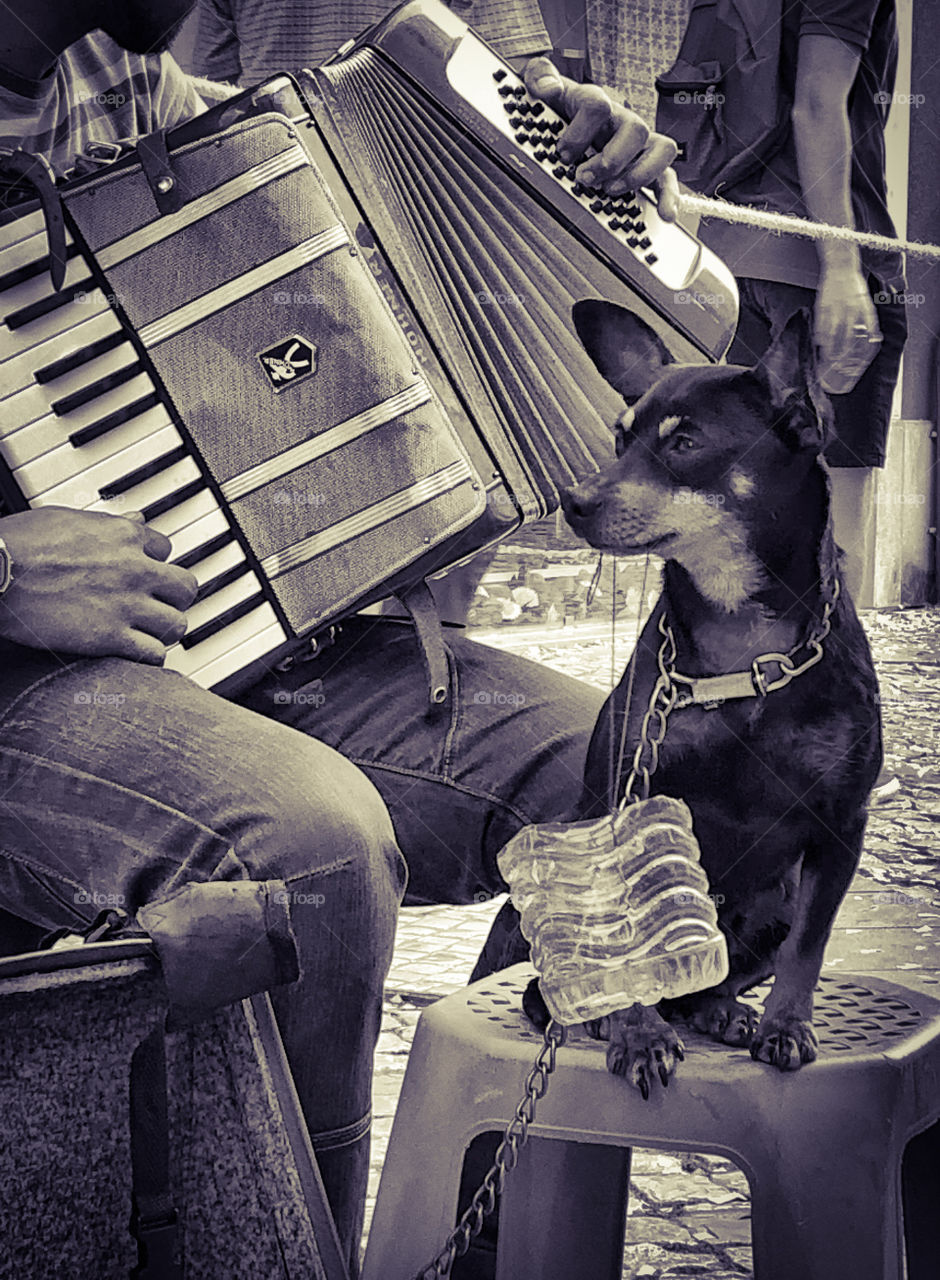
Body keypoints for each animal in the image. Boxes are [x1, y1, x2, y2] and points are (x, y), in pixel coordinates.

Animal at [522, 294, 881, 1095]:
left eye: (685, 444)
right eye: (619, 439)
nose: (573, 501)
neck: (743, 642)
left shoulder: (841, 824)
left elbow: (811, 947)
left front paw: (787, 1026)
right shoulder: (623, 804)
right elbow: (629, 947)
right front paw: (637, 1034)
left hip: (775, 900)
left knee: (712, 978)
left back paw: (722, 1012)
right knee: (551, 988)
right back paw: (603, 1017)